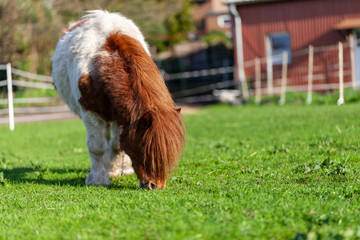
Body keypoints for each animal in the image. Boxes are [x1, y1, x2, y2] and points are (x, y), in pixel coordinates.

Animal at [51, 10, 186, 189]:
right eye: (145, 148)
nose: (155, 185)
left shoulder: (121, 117)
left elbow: (117, 146)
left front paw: (113, 171)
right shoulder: (90, 113)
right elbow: (97, 147)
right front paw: (98, 179)